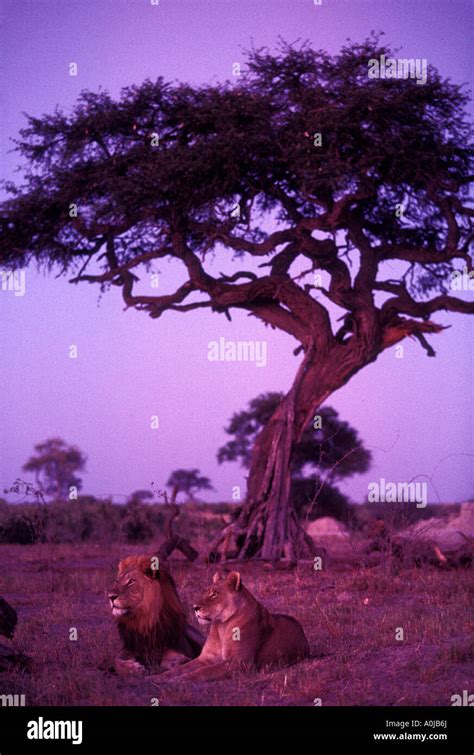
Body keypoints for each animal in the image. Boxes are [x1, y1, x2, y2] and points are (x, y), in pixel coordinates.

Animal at [157, 568, 310, 684]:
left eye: (214, 594)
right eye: (205, 592)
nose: (195, 607)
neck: (221, 626)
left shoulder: (240, 662)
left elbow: (204, 671)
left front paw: (180, 680)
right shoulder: (206, 658)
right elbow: (180, 668)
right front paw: (158, 677)